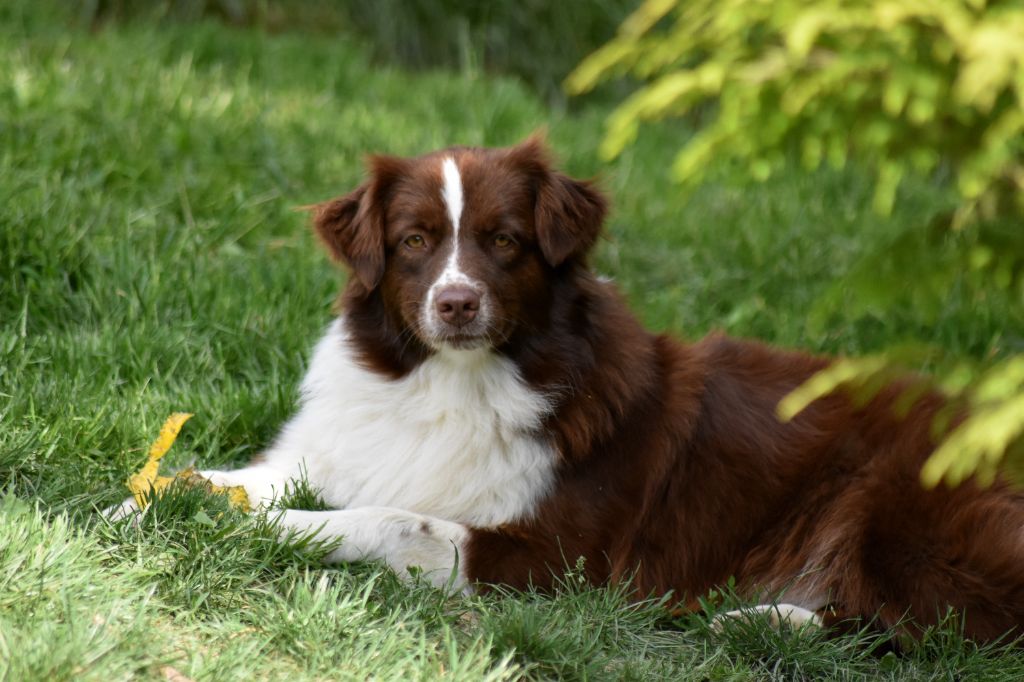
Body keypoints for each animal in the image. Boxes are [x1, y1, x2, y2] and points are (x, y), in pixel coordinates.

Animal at [117, 137, 1024, 638]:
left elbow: (388, 519)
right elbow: (235, 480)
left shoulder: (553, 555)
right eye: (413, 240)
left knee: (946, 631)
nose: (455, 302)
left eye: (504, 241)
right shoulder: (343, 446)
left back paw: (764, 622)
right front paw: (156, 498)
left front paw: (280, 529)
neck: (456, 381)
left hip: (902, 504)